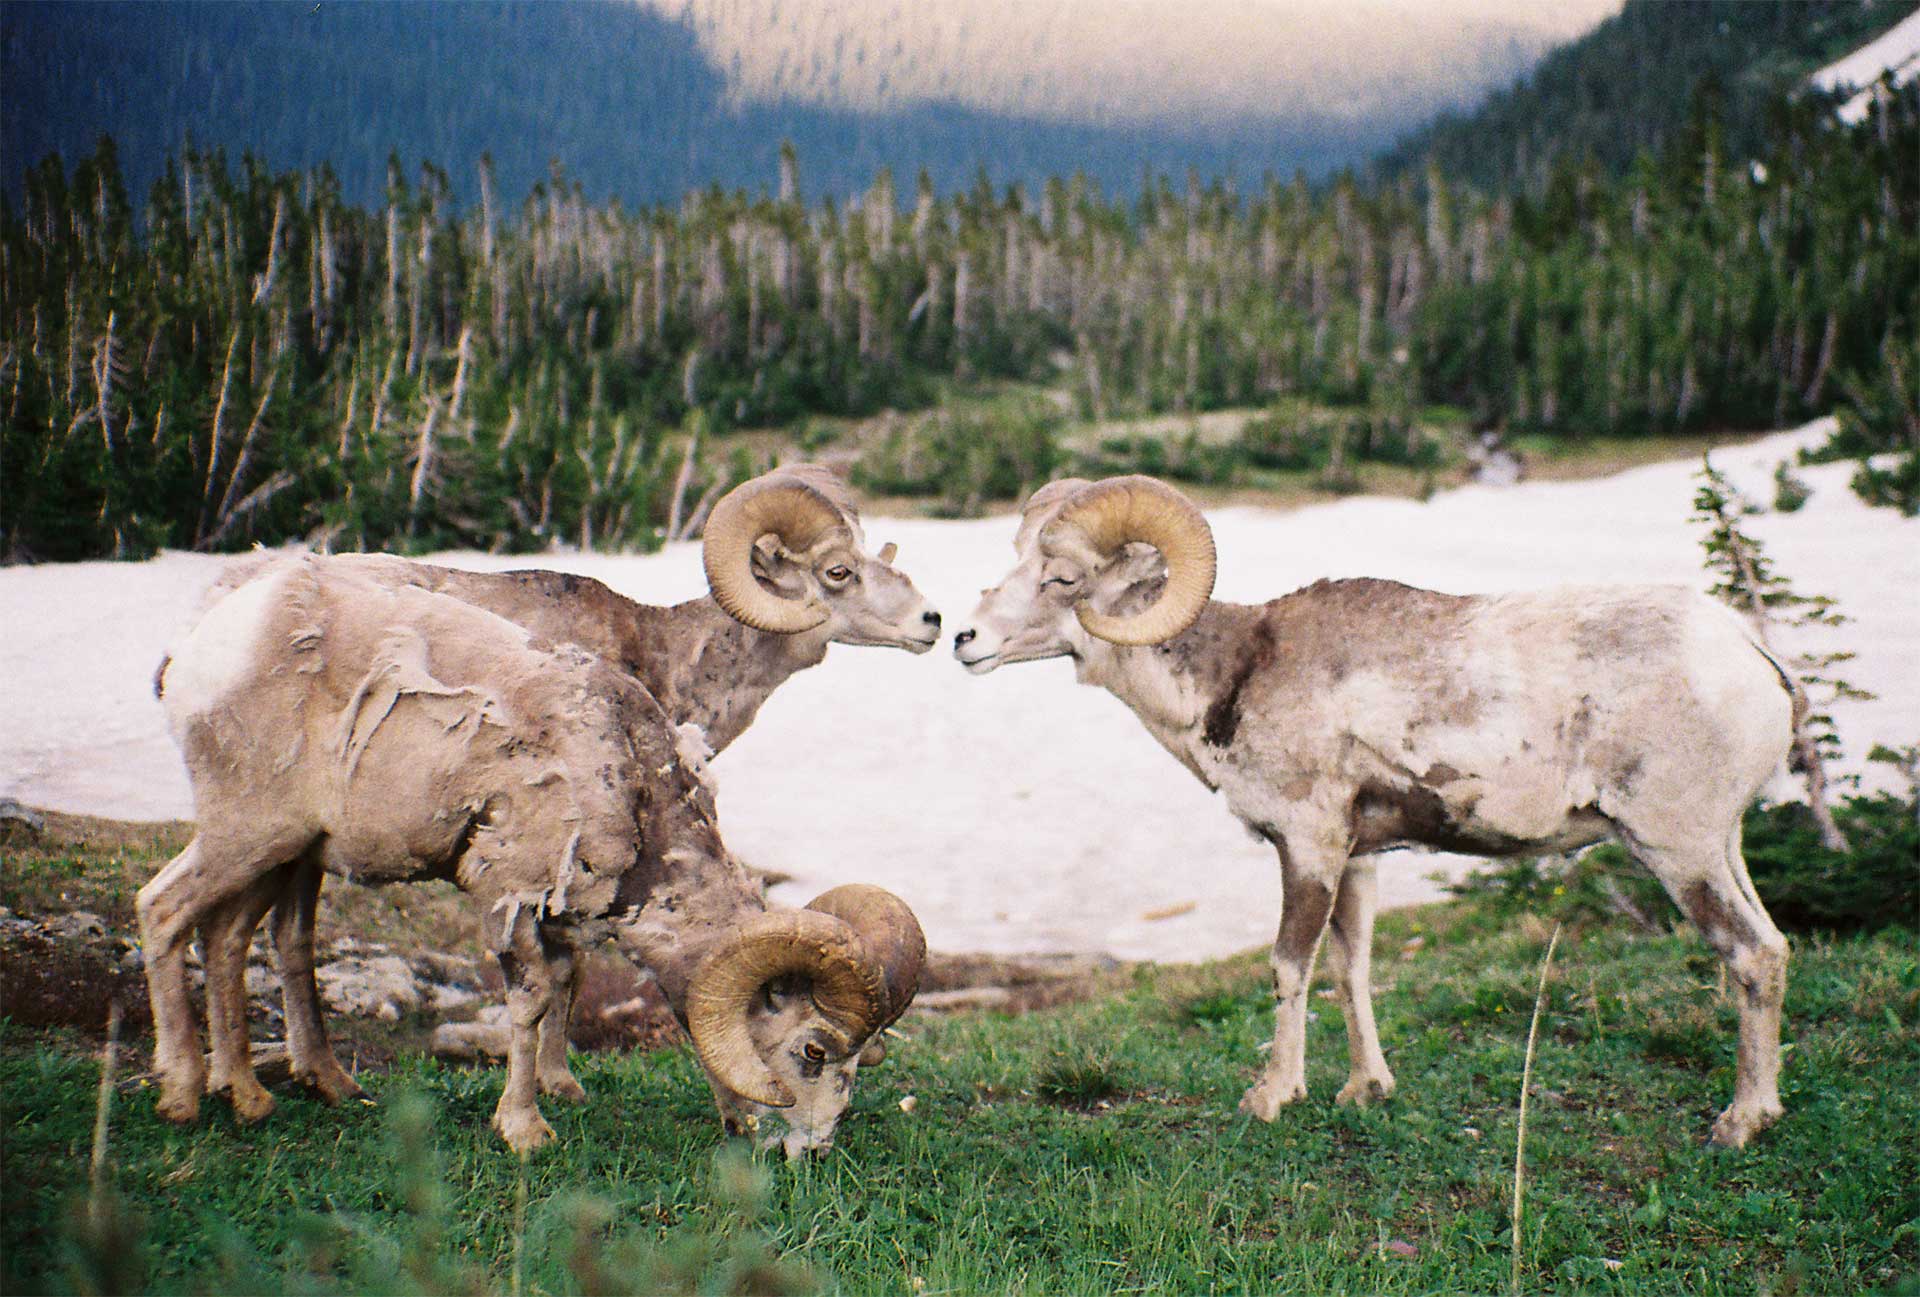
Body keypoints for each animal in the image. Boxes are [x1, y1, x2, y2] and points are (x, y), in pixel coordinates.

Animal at [172, 463, 939, 1110]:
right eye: (838, 571)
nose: (932, 622)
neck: (669, 659)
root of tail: (211, 622)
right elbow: (567, 969)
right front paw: (558, 1084)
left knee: (267, 933)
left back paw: (299, 1079)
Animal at [951, 475, 1797, 1148]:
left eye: (1062, 577)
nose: (965, 638)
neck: (1231, 680)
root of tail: (1752, 658)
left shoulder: (1308, 848)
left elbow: (1288, 966)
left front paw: (1271, 1097)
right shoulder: (1358, 860)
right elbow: (1349, 968)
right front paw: (1364, 1089)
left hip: (1676, 849)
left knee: (1751, 953)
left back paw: (1738, 1123)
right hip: (1723, 846)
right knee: (1775, 947)